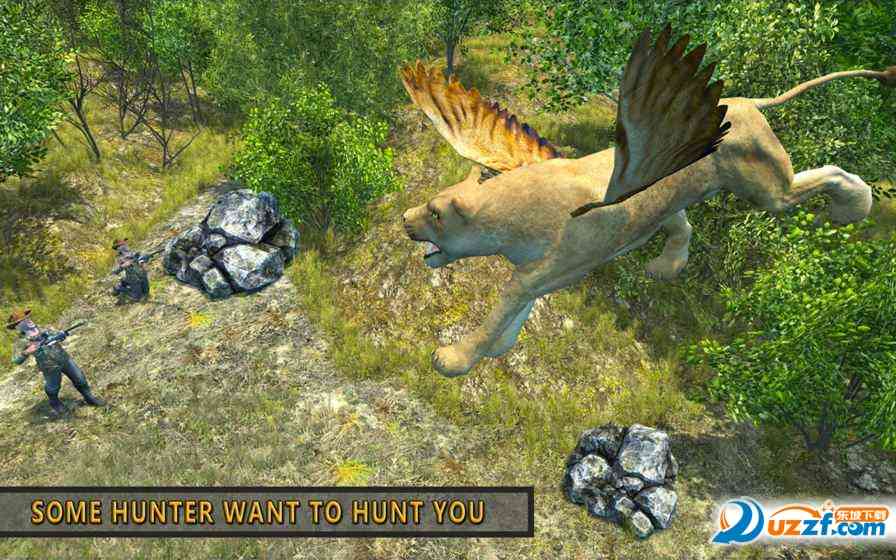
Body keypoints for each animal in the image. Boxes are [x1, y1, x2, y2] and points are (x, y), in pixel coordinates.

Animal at [400, 25, 895, 378]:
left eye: (436, 214)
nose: (405, 219)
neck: (510, 215)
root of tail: (744, 100)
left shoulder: (543, 270)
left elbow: (505, 307)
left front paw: (456, 359)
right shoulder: (540, 273)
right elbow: (514, 311)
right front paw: (496, 349)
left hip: (766, 189)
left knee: (822, 178)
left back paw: (855, 206)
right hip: (676, 202)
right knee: (683, 225)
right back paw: (665, 267)